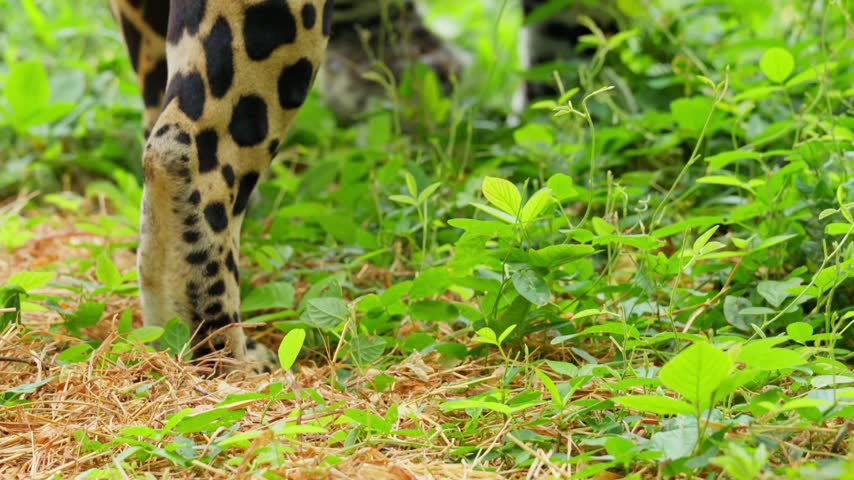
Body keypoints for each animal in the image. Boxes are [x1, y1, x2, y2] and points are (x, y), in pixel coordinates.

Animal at [110, 0, 614, 372]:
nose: (438, 71)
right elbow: (573, 29)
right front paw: (568, 117)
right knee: (182, 147)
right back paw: (228, 355)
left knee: (155, 124)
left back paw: (165, 340)